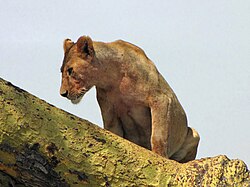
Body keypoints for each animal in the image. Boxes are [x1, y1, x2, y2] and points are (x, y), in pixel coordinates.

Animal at [59, 35, 200, 162]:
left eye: (70, 71)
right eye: (62, 71)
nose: (63, 93)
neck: (112, 78)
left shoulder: (161, 99)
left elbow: (158, 136)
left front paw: (160, 157)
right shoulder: (110, 116)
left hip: (195, 135)